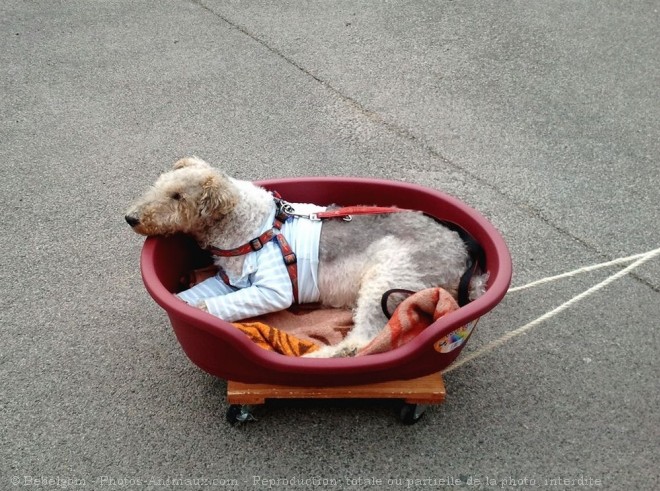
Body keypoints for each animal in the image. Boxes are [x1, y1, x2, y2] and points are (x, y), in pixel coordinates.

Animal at [126, 158, 484, 358]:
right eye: (160, 184)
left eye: (177, 196)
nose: (131, 218)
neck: (249, 225)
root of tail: (465, 262)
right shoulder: (229, 282)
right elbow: (195, 294)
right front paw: (180, 302)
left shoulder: (273, 291)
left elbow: (211, 305)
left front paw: (196, 312)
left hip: (387, 278)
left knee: (363, 342)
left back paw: (319, 357)